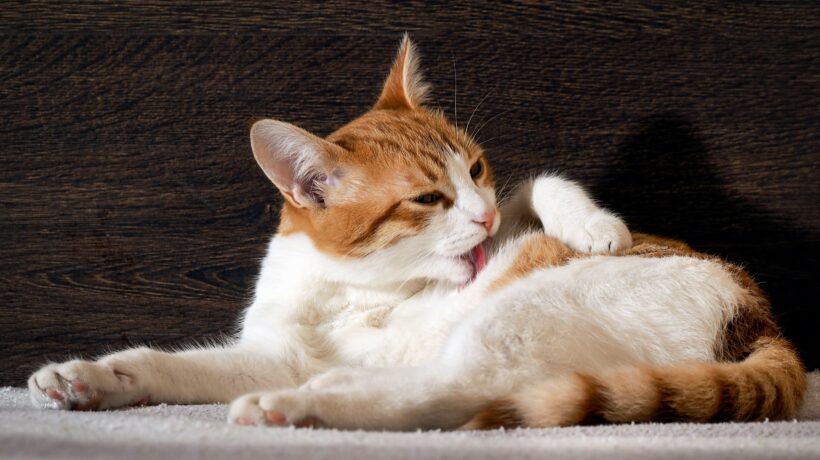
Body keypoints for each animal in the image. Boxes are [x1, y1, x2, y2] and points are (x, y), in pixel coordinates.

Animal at [28, 36, 804, 432]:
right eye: (428, 199)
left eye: (476, 169)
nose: (482, 220)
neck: (352, 288)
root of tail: (759, 311)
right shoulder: (273, 353)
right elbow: (171, 364)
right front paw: (90, 378)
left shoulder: (509, 207)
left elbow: (541, 183)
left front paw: (593, 222)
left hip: (525, 309)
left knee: (465, 389)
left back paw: (305, 406)